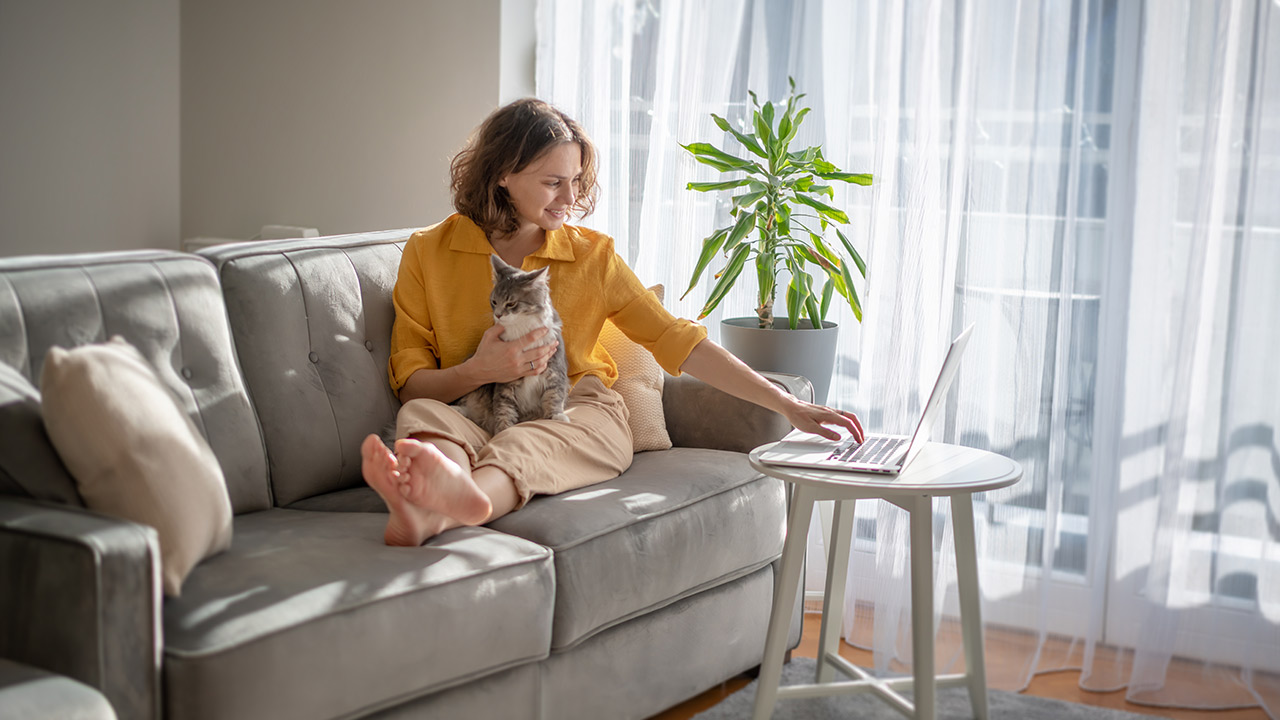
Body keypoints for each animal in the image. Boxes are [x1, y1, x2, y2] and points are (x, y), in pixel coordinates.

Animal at [450, 253, 570, 430]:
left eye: (511, 303)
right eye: (494, 302)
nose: (498, 315)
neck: (522, 330)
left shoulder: (555, 369)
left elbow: (554, 396)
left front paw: (556, 416)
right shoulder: (505, 382)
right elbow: (504, 409)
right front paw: (503, 429)